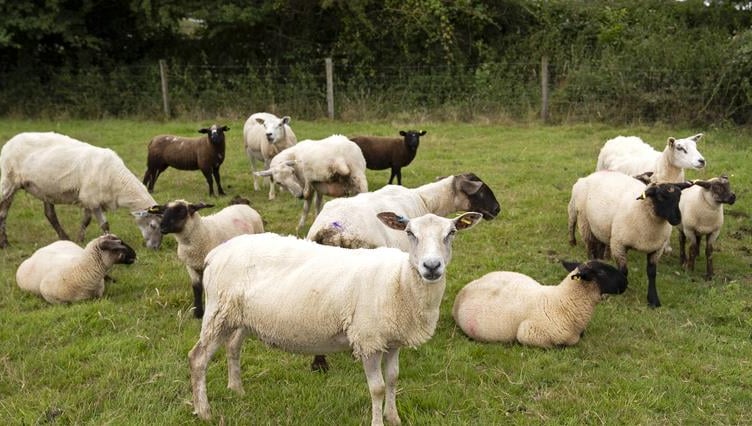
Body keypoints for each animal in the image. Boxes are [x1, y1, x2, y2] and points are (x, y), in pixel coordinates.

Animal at [0, 132, 163, 249]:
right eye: (152, 225)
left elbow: (94, 222)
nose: (155, 248)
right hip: (8, 181)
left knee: (49, 214)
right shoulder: (90, 198)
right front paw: (83, 240)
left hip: (43, 188)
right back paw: (5, 244)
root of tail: (10, 141)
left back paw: (63, 237)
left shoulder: (93, 200)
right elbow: (97, 223)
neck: (118, 181)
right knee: (3, 212)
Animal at [188, 211, 483, 425]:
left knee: (233, 347)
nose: (432, 266)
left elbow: (393, 378)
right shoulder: (368, 340)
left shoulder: (392, 340)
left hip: (239, 317)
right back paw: (204, 411)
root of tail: (216, 252)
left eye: (451, 233)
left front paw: (394, 418)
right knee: (198, 358)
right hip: (217, 313)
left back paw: (236, 389)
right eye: (410, 233)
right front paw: (378, 422)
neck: (399, 281)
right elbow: (377, 388)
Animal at [567, 170, 692, 307]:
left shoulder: (657, 249)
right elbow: (623, 271)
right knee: (590, 248)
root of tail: (592, 175)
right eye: (660, 197)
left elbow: (652, 273)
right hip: (585, 222)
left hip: (601, 228)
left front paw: (653, 300)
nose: (677, 219)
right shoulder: (618, 244)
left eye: (679, 197)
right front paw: (621, 290)